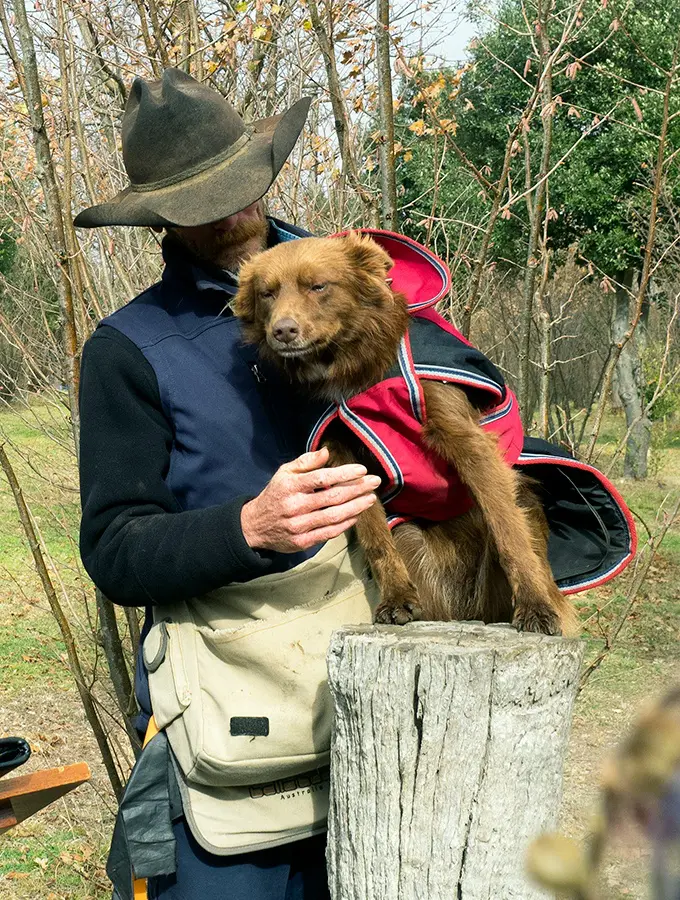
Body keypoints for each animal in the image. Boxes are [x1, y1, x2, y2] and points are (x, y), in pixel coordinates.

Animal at [235, 234, 580, 640]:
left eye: (318, 286)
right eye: (267, 294)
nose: (283, 331)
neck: (355, 366)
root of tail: (464, 608)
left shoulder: (465, 437)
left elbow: (507, 527)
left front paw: (535, 604)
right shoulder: (344, 457)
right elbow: (375, 536)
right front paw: (397, 598)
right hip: (411, 538)